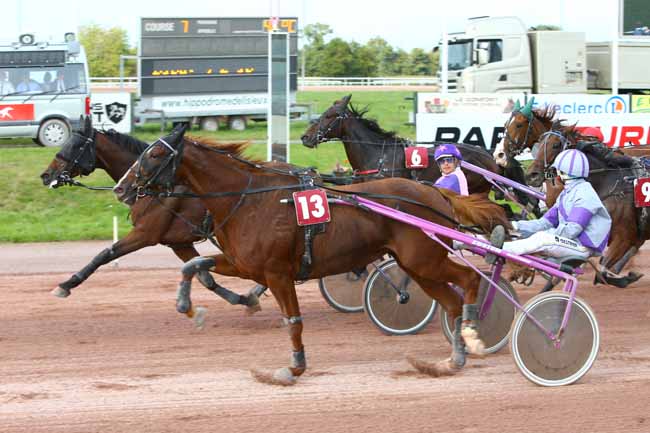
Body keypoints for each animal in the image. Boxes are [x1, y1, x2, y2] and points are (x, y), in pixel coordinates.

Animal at [39, 116, 264, 319]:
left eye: (75, 145)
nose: (46, 175)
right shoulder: (179, 243)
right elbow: (204, 277)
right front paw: (244, 299)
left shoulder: (145, 234)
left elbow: (105, 254)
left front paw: (66, 284)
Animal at [113, 125, 511, 386]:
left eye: (155, 154)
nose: (121, 188)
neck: (250, 199)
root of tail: (435, 193)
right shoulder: (247, 266)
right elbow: (195, 265)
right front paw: (188, 307)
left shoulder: (277, 274)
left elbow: (293, 321)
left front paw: (293, 368)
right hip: (417, 266)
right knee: (450, 301)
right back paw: (452, 359)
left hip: (425, 258)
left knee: (469, 280)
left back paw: (474, 331)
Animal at [525, 125, 645, 288]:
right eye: (539, 143)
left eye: (555, 145)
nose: (531, 175)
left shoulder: (624, 238)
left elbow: (602, 272)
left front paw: (629, 277)